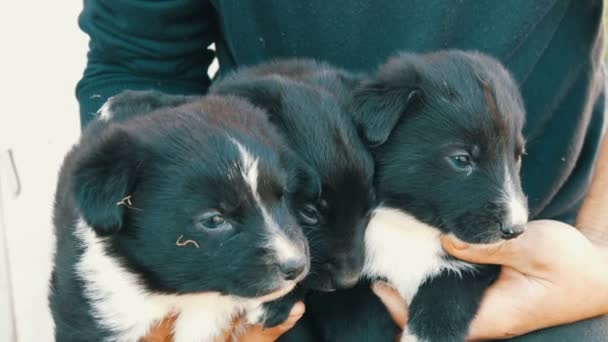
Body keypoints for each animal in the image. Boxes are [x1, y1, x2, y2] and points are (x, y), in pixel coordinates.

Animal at [308, 50, 528, 342]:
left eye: (518, 157)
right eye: (461, 159)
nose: (515, 230)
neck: (409, 224)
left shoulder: (469, 268)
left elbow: (443, 304)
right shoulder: (339, 279)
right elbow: (356, 319)